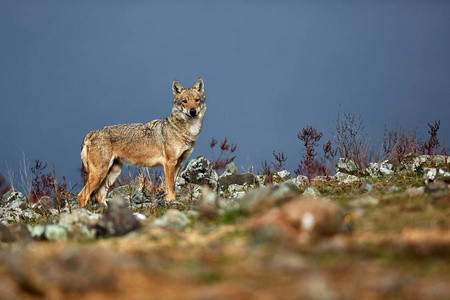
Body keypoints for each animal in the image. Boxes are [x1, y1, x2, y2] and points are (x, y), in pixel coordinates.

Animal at [78, 77, 206, 207]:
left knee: (99, 194)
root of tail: (91, 133)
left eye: (196, 100)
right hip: (99, 173)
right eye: (184, 101)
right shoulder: (169, 163)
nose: (193, 111)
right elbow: (170, 187)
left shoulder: (178, 164)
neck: (186, 131)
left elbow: (173, 186)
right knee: (82, 195)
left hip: (114, 172)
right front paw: (171, 202)